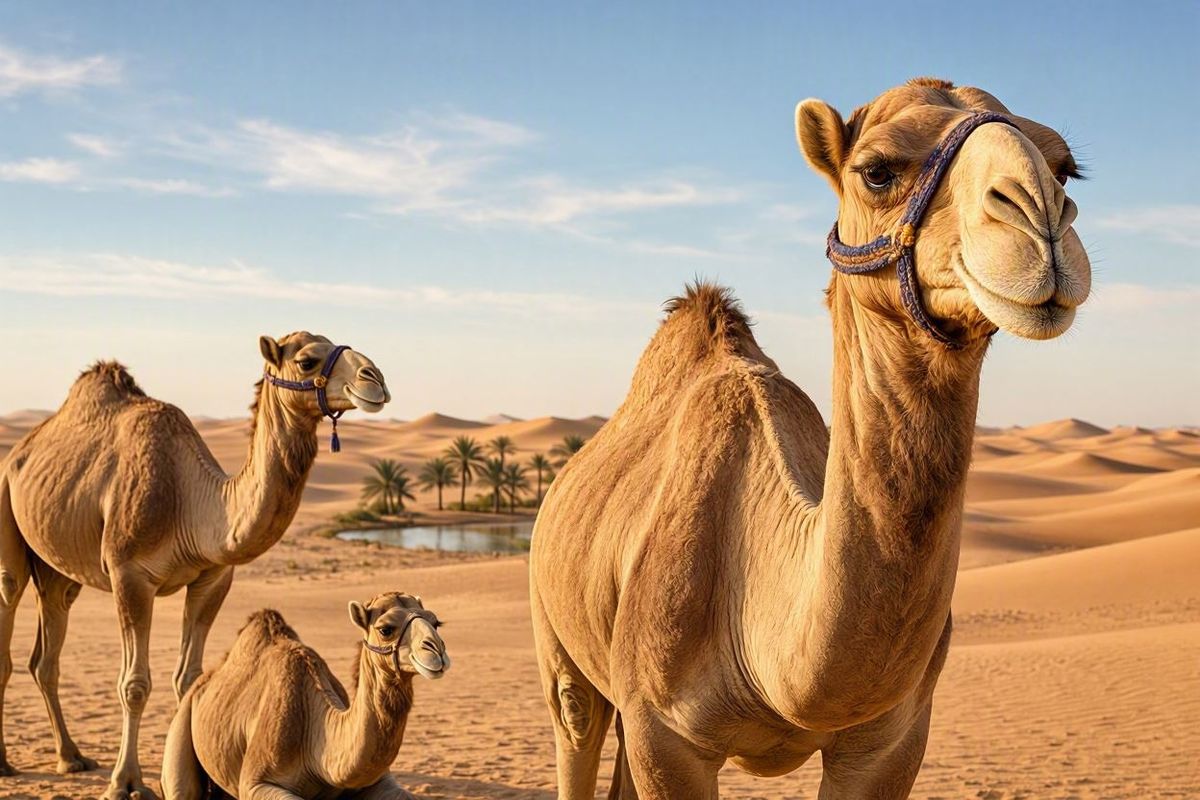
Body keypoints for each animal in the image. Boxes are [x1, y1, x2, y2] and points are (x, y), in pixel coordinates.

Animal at [0, 332, 390, 800]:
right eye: (307, 360)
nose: (375, 379)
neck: (190, 504)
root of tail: (20, 450)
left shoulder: (212, 579)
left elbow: (189, 680)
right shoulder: (129, 575)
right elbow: (134, 684)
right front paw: (126, 782)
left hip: (58, 568)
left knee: (48, 648)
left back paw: (71, 757)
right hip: (7, 507)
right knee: (9, 602)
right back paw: (5, 763)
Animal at [160, 592, 449, 799]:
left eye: (436, 622)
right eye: (385, 629)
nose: (437, 651)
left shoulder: (376, 780)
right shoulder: (256, 782)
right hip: (181, 726)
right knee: (182, 788)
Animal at [529, 78, 1092, 798]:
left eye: (1064, 169)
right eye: (876, 171)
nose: (1041, 225)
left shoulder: (890, 740)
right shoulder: (667, 733)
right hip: (557, 634)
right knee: (575, 721)